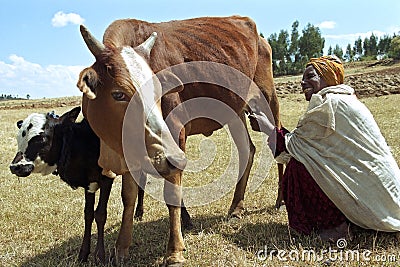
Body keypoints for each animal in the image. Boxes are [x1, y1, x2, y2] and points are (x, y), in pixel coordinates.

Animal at [76, 16, 282, 266]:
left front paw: (174, 251)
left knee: (277, 142)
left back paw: (280, 199)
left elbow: (172, 192)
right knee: (247, 150)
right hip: (234, 112)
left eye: (158, 91)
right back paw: (236, 207)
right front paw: (121, 248)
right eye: (118, 94)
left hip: (267, 97)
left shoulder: (176, 133)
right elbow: (129, 195)